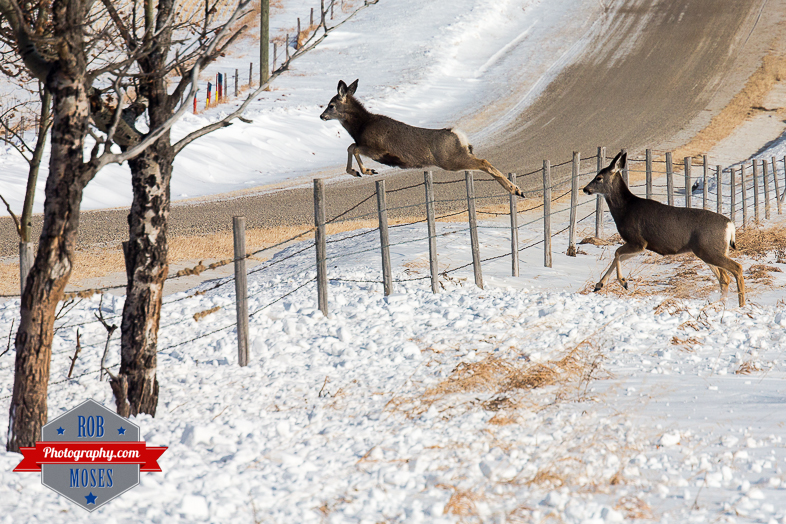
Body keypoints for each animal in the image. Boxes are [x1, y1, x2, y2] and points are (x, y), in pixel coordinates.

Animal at [319, 79, 525, 197]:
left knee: (484, 161)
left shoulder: (378, 148)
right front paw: (359, 171)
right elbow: (351, 146)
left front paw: (365, 171)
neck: (362, 125)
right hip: (458, 156)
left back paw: (515, 189)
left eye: (331, 105)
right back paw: (516, 190)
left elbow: (352, 147)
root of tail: (458, 135)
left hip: (451, 159)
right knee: (483, 162)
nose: (321, 116)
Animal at [583, 150, 745, 306]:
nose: (585, 189)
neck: (625, 209)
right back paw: (722, 305)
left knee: (737, 268)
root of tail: (730, 225)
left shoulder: (638, 241)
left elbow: (617, 253)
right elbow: (618, 256)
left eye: (599, 177)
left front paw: (623, 282)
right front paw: (599, 285)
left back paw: (741, 305)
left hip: (710, 249)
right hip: (709, 250)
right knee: (724, 278)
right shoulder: (641, 245)